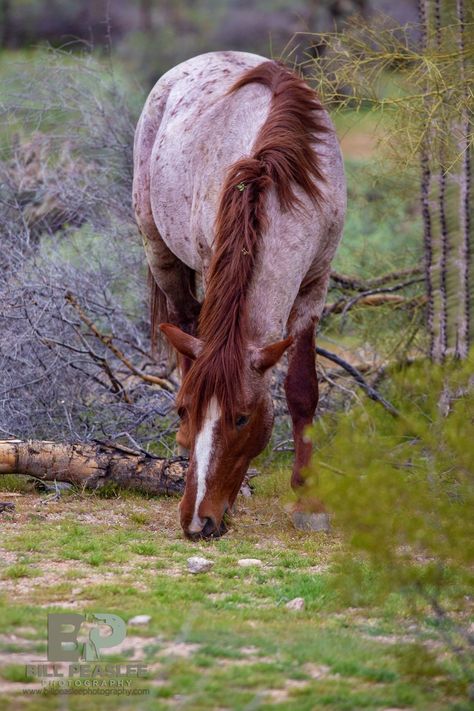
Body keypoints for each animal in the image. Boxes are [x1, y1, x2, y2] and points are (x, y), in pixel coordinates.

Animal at [131, 50, 346, 540]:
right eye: (183, 410)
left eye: (242, 417)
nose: (198, 521)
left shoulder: (315, 285)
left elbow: (302, 389)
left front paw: (308, 498)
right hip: (161, 255)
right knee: (186, 330)